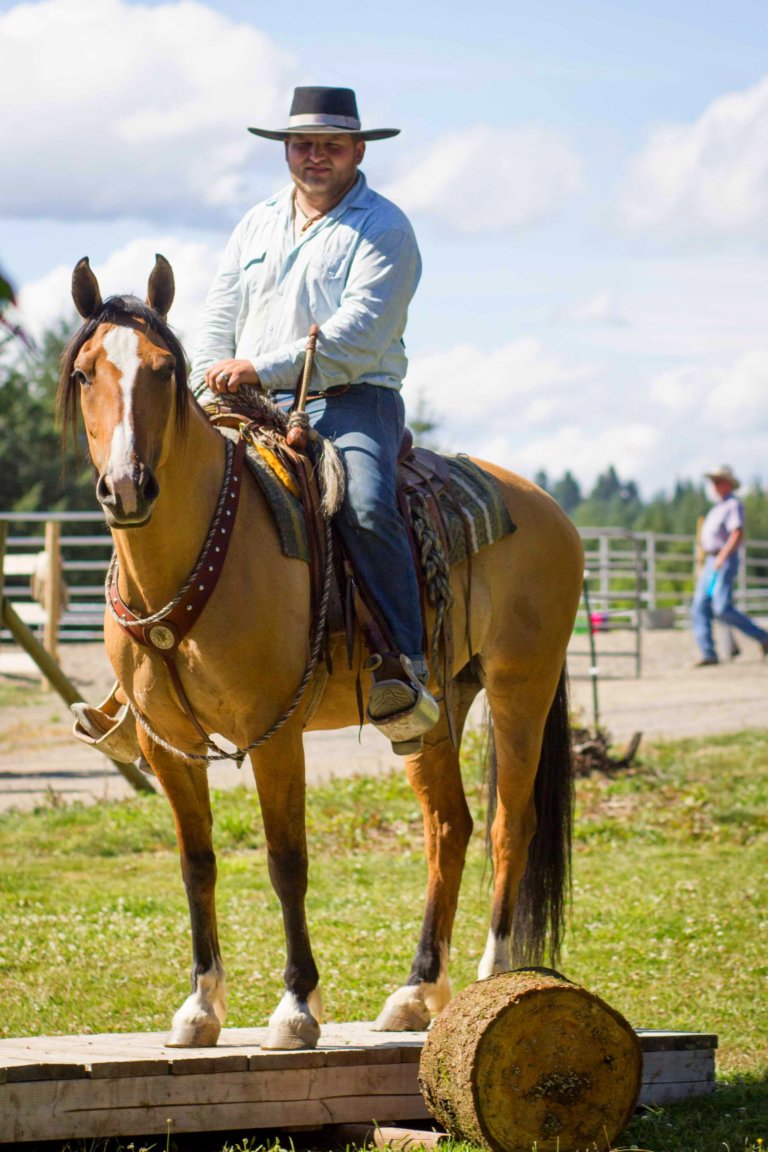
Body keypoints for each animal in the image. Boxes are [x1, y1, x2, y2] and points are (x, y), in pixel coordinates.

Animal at [58, 255, 584, 1050]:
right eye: (87, 372)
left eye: (162, 370)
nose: (126, 485)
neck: (199, 556)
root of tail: (546, 505)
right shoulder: (167, 746)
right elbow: (197, 863)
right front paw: (200, 1008)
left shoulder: (275, 734)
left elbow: (286, 862)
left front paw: (297, 1006)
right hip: (438, 707)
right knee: (449, 827)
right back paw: (416, 992)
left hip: (522, 684)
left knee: (507, 826)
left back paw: (491, 981)